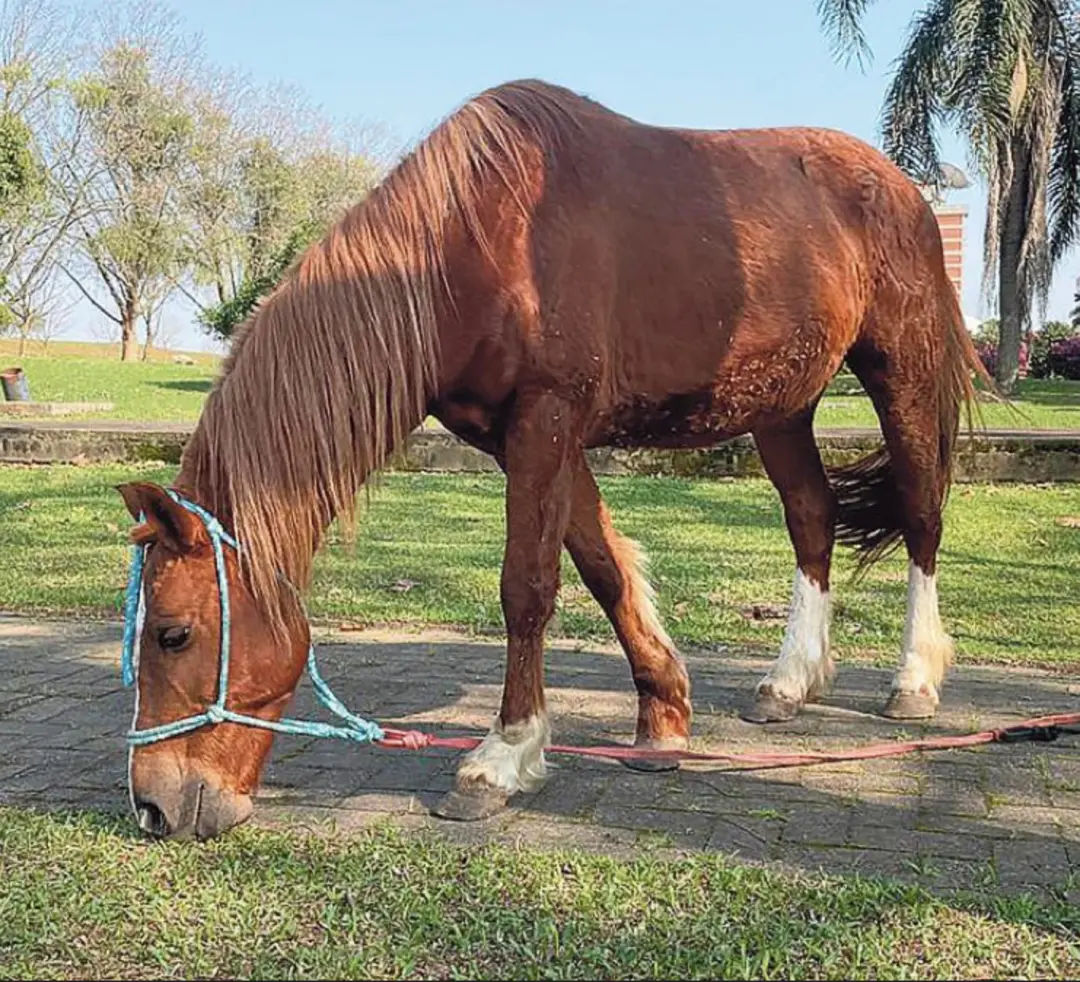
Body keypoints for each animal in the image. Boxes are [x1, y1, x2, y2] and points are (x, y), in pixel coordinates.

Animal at [115, 78, 989, 841]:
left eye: (173, 634)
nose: (154, 809)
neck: (473, 242)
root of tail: (901, 185)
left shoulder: (547, 418)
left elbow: (528, 588)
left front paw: (500, 760)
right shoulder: (520, 437)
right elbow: (602, 567)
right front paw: (662, 722)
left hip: (902, 372)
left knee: (921, 515)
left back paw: (914, 680)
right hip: (781, 408)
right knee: (812, 517)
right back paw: (790, 680)